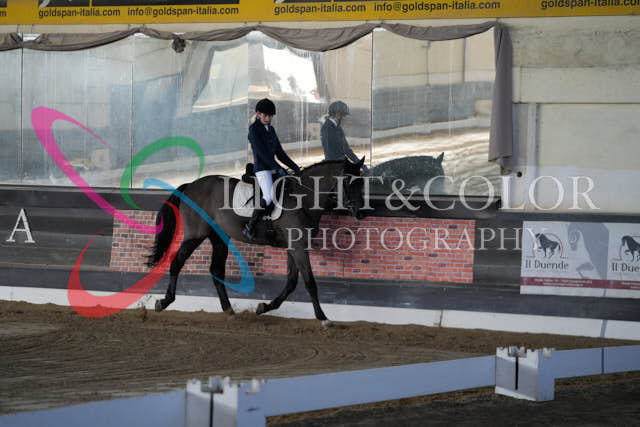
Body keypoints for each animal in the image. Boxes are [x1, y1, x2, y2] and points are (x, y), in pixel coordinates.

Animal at [146, 157, 366, 327]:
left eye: (362, 183)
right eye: (349, 181)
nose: (361, 213)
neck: (303, 198)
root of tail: (190, 185)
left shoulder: (293, 247)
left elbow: (291, 283)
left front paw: (264, 307)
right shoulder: (298, 247)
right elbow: (309, 282)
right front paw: (323, 318)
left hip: (219, 237)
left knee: (216, 270)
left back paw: (229, 310)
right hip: (195, 235)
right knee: (177, 263)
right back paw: (164, 302)